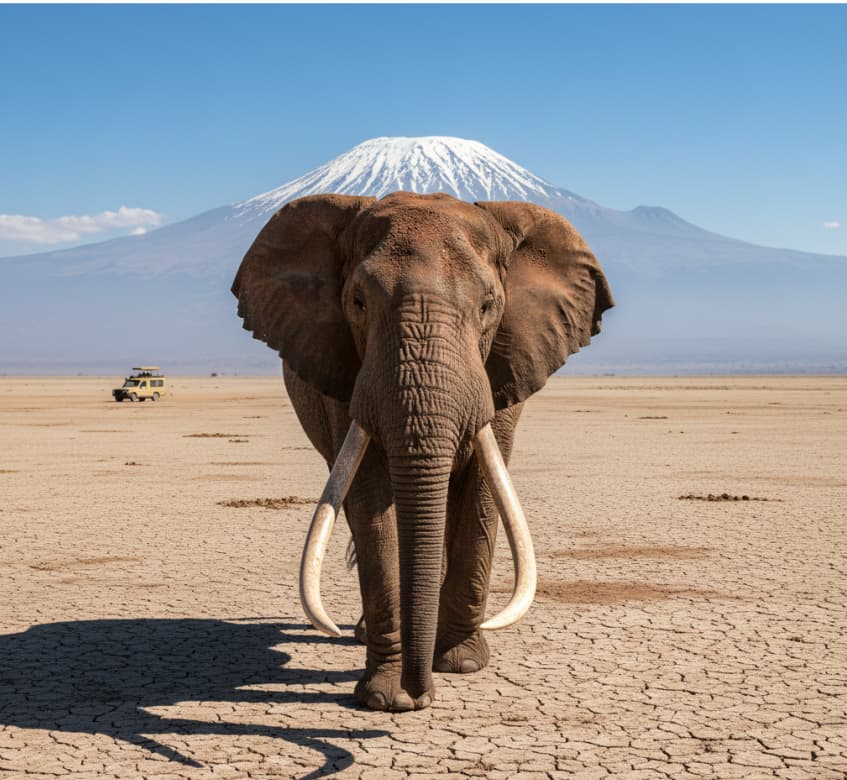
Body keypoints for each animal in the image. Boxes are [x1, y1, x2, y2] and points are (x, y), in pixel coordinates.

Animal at [232, 191, 613, 712]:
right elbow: (371, 499)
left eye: (488, 306)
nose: (421, 694)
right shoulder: (345, 372)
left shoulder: (504, 365)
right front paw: (385, 696)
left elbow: (482, 489)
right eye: (357, 302)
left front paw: (461, 663)